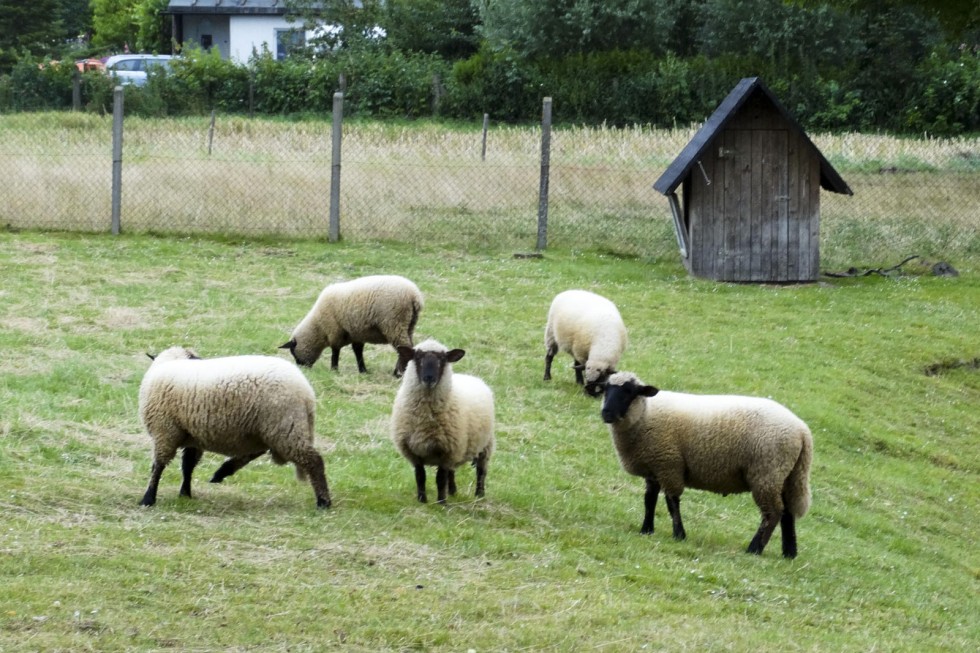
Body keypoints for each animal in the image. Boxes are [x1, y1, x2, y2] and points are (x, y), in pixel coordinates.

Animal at [137, 346, 334, 510]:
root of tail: (307, 394)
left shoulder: (164, 431)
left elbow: (158, 466)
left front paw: (148, 498)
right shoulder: (192, 436)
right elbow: (188, 466)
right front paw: (185, 493)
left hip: (284, 427)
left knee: (313, 461)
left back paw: (324, 502)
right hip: (264, 430)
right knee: (256, 452)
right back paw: (222, 472)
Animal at [280, 274, 424, 376]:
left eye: (293, 353)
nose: (301, 369)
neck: (318, 328)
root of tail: (415, 296)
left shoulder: (335, 331)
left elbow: (335, 351)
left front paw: (334, 369)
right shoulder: (356, 333)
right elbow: (357, 351)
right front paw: (363, 370)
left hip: (394, 323)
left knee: (404, 347)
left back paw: (398, 373)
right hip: (409, 325)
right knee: (406, 347)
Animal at [390, 338, 498, 502]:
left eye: (442, 359)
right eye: (417, 357)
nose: (429, 378)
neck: (425, 418)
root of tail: (472, 377)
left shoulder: (447, 451)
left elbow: (440, 478)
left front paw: (441, 502)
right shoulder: (413, 451)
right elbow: (420, 476)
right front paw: (422, 500)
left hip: (485, 445)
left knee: (481, 471)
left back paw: (479, 494)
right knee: (451, 472)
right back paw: (452, 491)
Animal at [596, 372, 812, 556]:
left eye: (629, 391)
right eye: (606, 389)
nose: (606, 413)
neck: (645, 414)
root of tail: (802, 430)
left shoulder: (669, 465)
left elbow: (672, 502)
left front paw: (679, 535)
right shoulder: (654, 469)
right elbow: (649, 500)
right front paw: (646, 530)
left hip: (766, 472)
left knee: (773, 512)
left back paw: (754, 549)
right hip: (786, 475)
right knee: (787, 512)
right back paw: (789, 553)